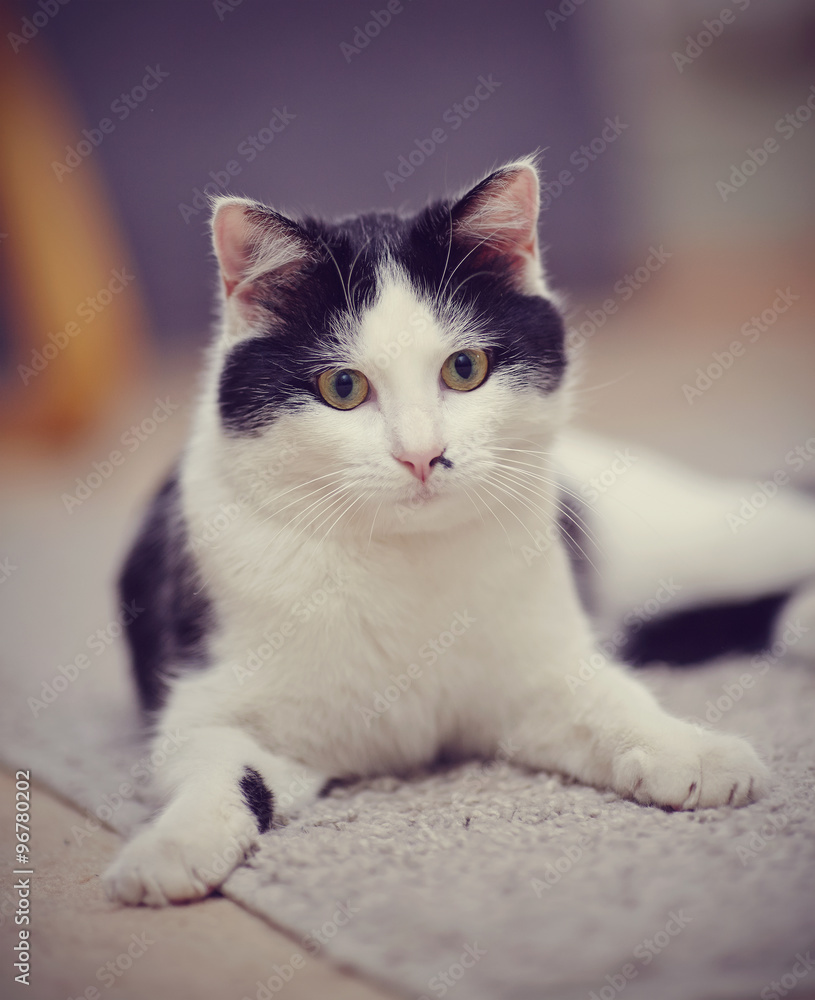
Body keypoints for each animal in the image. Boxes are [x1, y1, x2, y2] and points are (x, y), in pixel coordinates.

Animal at [103, 156, 815, 908]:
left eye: (464, 368)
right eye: (342, 388)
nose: (422, 455)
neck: (407, 563)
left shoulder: (542, 666)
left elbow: (613, 699)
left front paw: (693, 750)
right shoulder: (207, 704)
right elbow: (221, 773)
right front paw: (170, 847)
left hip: (705, 533)